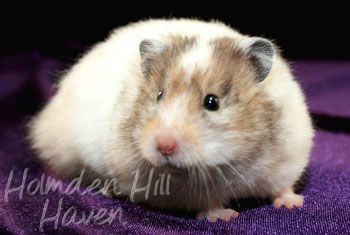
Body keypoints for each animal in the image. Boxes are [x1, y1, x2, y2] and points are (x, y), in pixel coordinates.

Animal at [28, 18, 314, 222]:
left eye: (212, 102)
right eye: (158, 95)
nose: (164, 146)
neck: (230, 162)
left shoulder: (288, 160)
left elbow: (283, 187)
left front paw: (293, 204)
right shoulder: (183, 193)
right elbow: (208, 203)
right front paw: (224, 217)